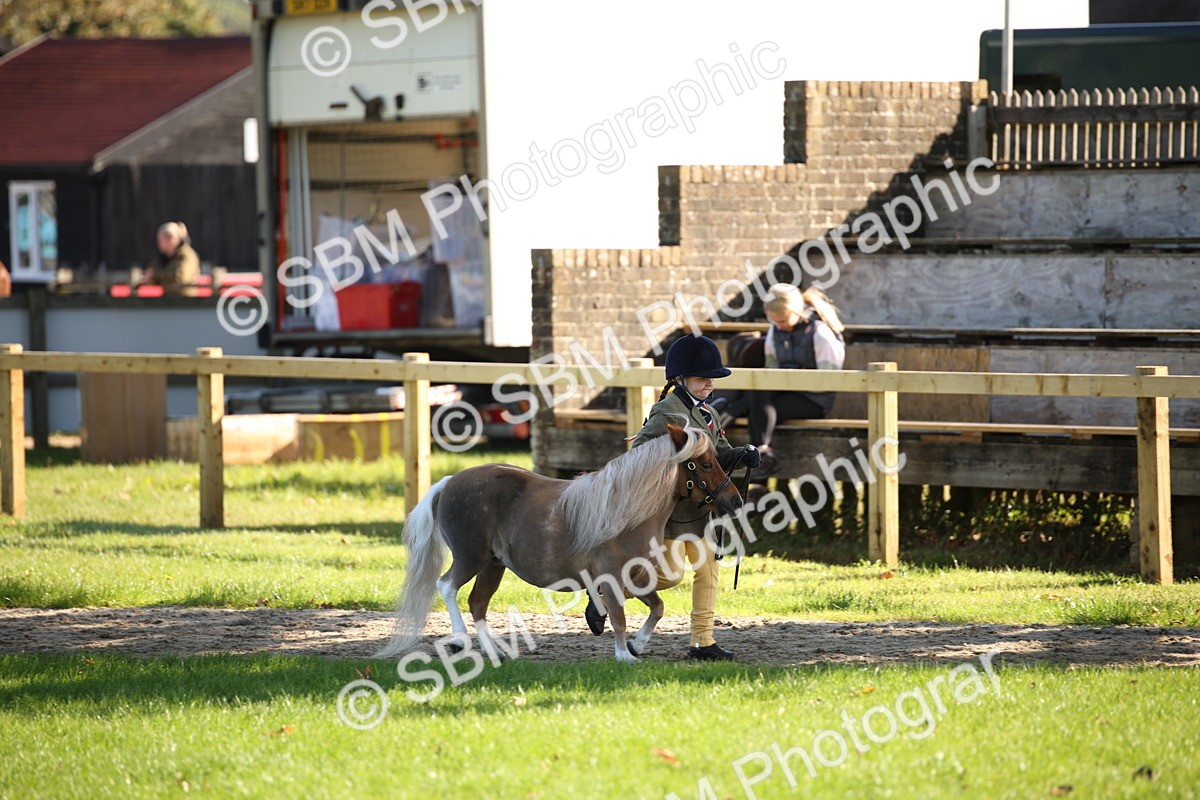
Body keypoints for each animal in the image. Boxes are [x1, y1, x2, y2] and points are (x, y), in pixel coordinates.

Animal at [376, 423, 743, 662]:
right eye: (705, 463)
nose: (735, 501)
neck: (626, 512)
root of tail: (450, 482)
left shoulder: (635, 578)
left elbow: (657, 608)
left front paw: (636, 645)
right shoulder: (611, 578)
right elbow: (620, 616)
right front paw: (624, 655)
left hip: (493, 566)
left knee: (477, 604)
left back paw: (493, 651)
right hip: (470, 558)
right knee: (447, 587)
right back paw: (460, 641)